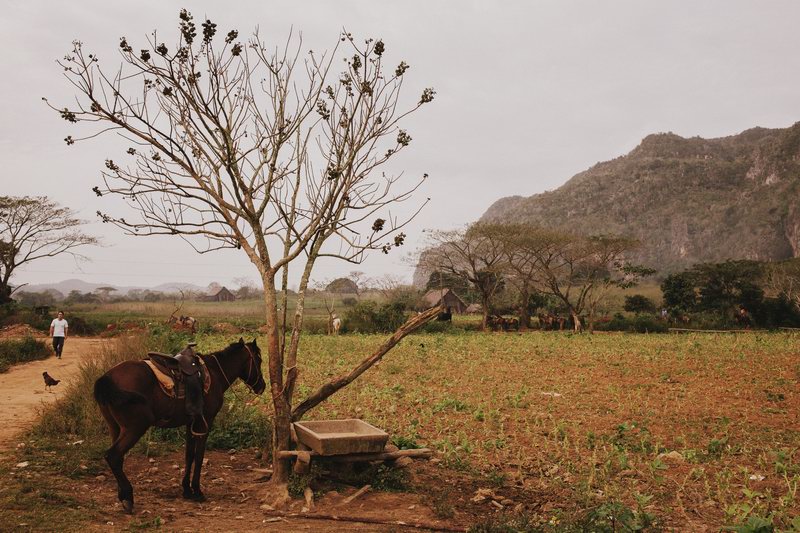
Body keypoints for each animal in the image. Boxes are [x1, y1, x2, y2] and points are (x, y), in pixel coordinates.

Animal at [92, 338, 264, 512]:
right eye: (259, 360)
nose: (262, 386)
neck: (215, 373)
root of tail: (107, 378)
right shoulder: (205, 422)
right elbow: (199, 456)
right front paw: (197, 491)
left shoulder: (191, 423)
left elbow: (189, 455)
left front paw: (187, 489)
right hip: (135, 428)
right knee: (113, 456)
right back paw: (128, 497)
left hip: (115, 427)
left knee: (118, 458)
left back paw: (122, 495)